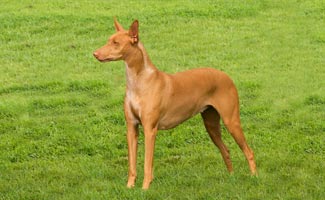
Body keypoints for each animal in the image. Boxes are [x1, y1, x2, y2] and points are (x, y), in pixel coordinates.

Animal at [92, 18, 256, 189]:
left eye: (116, 43)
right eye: (108, 40)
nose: (95, 54)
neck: (138, 82)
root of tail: (226, 76)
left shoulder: (150, 130)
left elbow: (147, 164)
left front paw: (145, 188)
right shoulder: (131, 127)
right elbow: (132, 164)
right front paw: (130, 187)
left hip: (231, 121)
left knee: (249, 151)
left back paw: (254, 176)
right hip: (211, 125)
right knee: (226, 150)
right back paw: (231, 177)